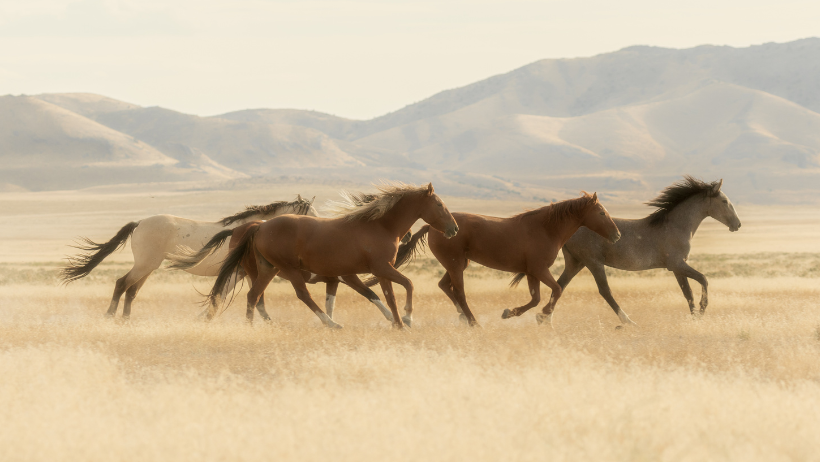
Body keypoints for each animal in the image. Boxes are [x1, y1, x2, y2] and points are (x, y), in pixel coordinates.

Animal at [60, 196, 317, 319]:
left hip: (148, 267)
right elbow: (225, 295)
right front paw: (205, 317)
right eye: (310, 215)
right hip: (144, 265)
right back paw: (110, 316)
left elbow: (229, 295)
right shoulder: (239, 272)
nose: (318, 231)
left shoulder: (241, 273)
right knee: (122, 283)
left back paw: (125, 319)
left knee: (131, 290)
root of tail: (140, 222)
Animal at [167, 221, 412, 322]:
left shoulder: (333, 280)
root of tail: (241, 229)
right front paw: (394, 318)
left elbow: (330, 302)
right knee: (239, 294)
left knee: (249, 296)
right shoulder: (348, 277)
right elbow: (371, 294)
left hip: (253, 273)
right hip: (250, 272)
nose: (406, 236)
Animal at [204, 182, 458, 329]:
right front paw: (406, 319)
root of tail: (260, 226)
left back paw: (251, 328)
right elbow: (407, 285)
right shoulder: (380, 269)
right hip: (288, 269)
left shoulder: (377, 272)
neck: (380, 226)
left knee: (254, 296)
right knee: (302, 295)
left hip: (268, 269)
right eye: (439, 204)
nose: (454, 229)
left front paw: (397, 323)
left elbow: (385, 296)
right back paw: (331, 324)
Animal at [391, 192, 620, 327]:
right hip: (455, 265)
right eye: (601, 212)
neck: (545, 229)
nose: (617, 235)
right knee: (459, 293)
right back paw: (473, 322)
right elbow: (556, 290)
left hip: (458, 264)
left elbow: (536, 298)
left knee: (444, 286)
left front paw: (510, 312)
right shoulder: (539, 269)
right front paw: (542, 315)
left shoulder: (531, 272)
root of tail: (434, 227)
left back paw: (463, 317)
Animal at [508, 176, 741, 324]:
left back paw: (544, 319)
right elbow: (703, 280)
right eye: (724, 201)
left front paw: (695, 317)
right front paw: (702, 311)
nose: (737, 224)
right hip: (593, 262)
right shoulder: (677, 264)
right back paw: (628, 321)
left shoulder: (676, 268)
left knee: (560, 286)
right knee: (605, 291)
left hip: (576, 262)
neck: (676, 225)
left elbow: (688, 293)